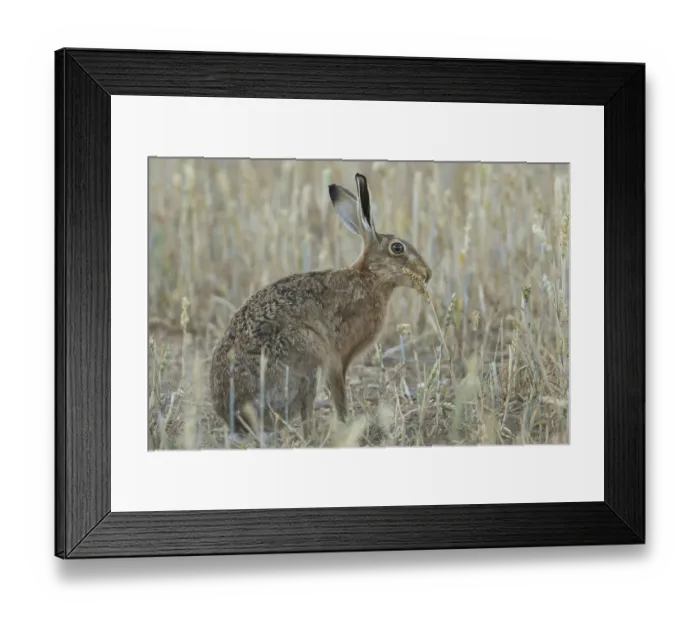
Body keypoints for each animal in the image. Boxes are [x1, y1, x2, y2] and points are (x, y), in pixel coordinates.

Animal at [209, 172, 432, 440]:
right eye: (397, 248)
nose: (427, 274)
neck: (370, 277)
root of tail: (238, 417)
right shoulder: (337, 357)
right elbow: (338, 392)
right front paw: (347, 424)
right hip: (307, 355)